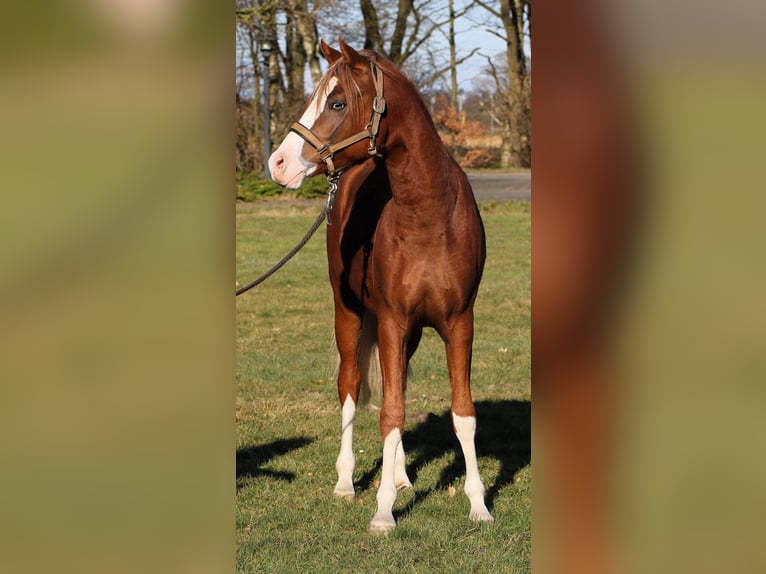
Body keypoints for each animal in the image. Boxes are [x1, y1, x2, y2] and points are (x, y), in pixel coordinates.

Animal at [270, 39, 496, 536]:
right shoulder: (391, 320)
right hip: (349, 315)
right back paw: (346, 482)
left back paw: (402, 475)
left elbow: (463, 414)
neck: (429, 213)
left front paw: (478, 505)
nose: (278, 163)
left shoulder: (460, 323)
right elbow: (389, 412)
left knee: (398, 388)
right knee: (351, 388)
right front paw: (383, 511)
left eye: (337, 103)